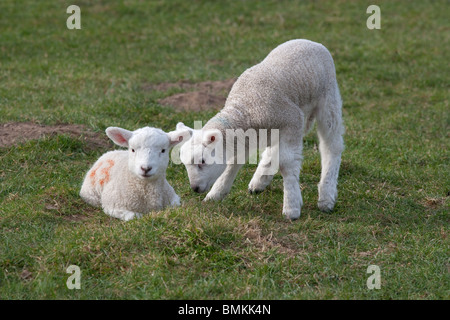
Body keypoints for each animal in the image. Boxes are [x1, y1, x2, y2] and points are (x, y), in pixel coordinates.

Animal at [176, 38, 344, 220]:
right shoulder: (248, 136)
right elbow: (234, 161)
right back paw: (259, 181)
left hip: (329, 100)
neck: (245, 109)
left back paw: (326, 196)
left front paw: (291, 207)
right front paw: (216, 194)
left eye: (202, 161)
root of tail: (311, 41)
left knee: (332, 145)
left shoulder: (292, 120)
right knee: (273, 150)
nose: (195, 188)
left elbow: (286, 163)